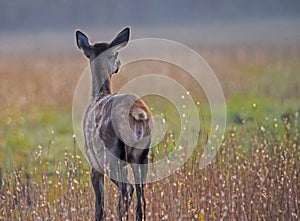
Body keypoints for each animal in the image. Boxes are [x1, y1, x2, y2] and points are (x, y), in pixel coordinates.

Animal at [75, 26, 152, 220]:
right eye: (115, 54)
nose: (119, 64)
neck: (98, 95)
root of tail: (137, 114)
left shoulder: (93, 162)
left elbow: (99, 206)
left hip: (111, 154)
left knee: (127, 190)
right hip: (142, 155)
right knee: (141, 197)